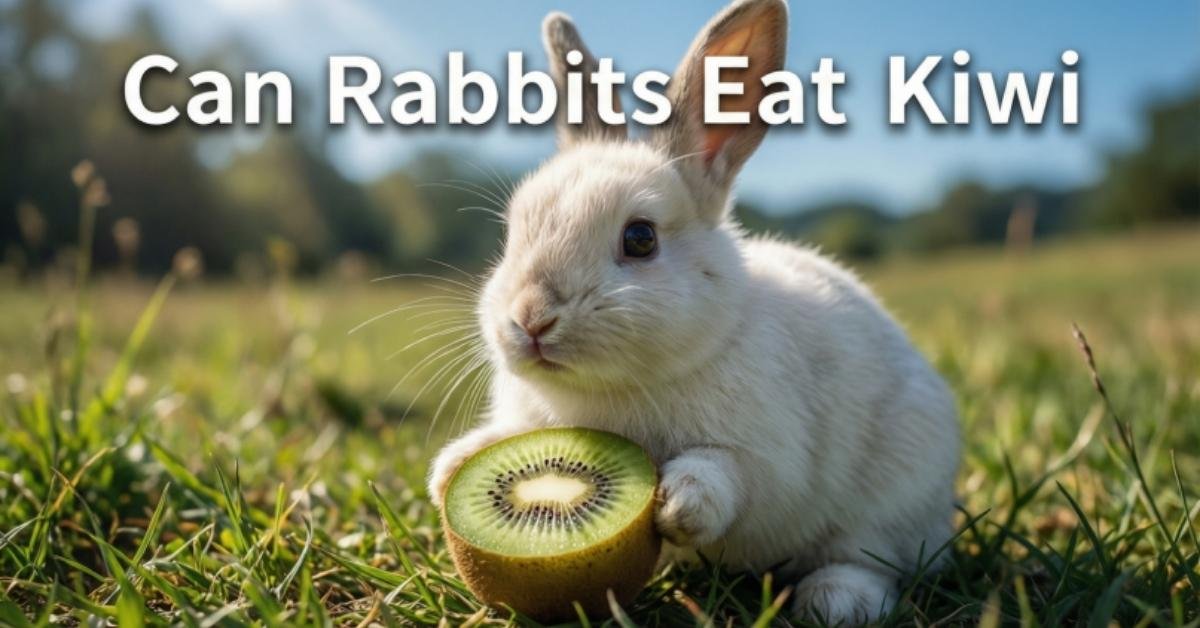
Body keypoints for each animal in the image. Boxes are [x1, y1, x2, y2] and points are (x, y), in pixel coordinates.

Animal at [427, 0, 961, 623]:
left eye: (640, 239)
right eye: (512, 233)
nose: (532, 319)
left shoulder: (768, 457)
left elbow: (731, 475)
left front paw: (680, 503)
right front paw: (448, 471)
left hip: (894, 498)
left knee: (873, 559)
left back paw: (835, 601)